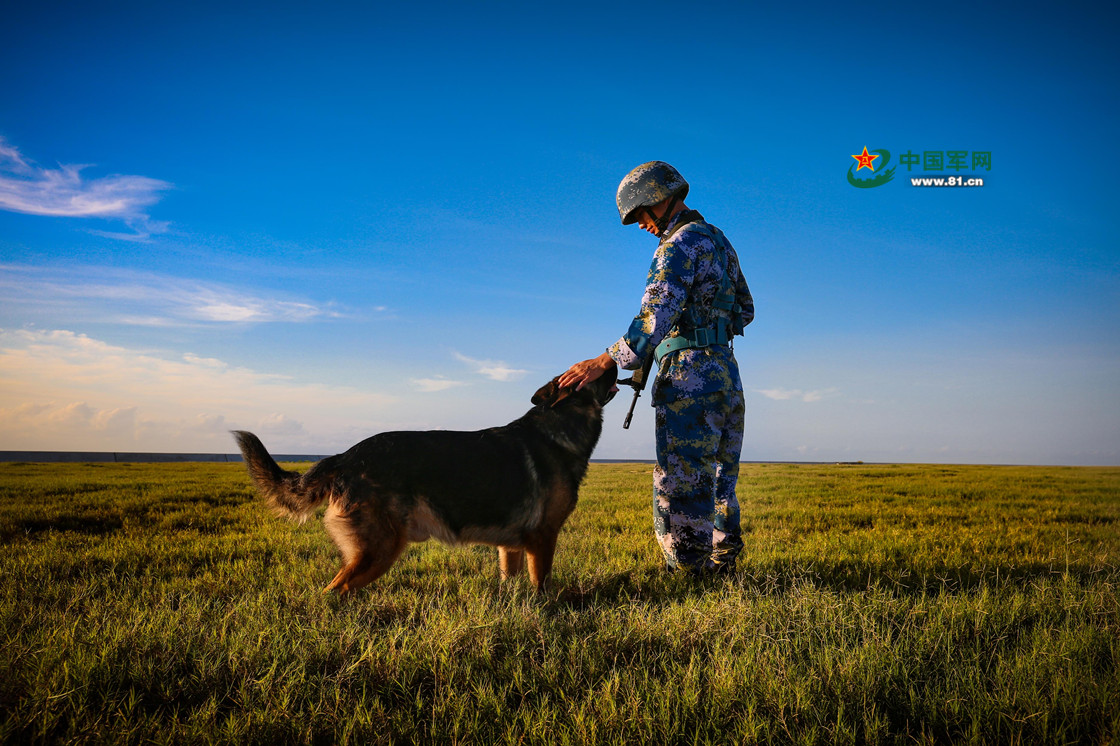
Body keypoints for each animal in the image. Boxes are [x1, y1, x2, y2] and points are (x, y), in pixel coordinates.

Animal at [233, 367, 617, 594]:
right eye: (588, 369)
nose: (611, 358)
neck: (560, 427)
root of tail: (345, 456)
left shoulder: (511, 547)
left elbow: (511, 582)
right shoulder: (542, 539)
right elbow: (542, 588)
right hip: (379, 549)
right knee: (334, 591)